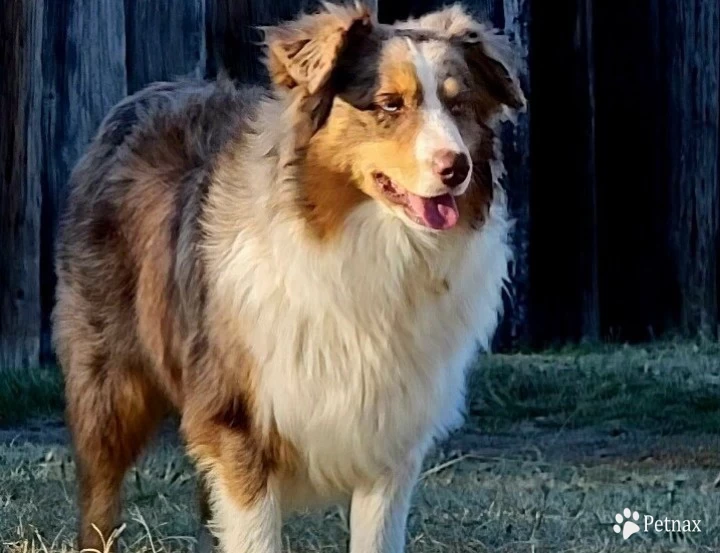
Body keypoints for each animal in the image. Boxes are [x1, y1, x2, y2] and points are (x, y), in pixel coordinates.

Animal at [50, 2, 524, 548]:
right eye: (390, 104)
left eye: (458, 104)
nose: (457, 167)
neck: (367, 248)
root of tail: (138, 99)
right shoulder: (237, 423)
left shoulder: (390, 439)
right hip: (109, 387)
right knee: (99, 502)